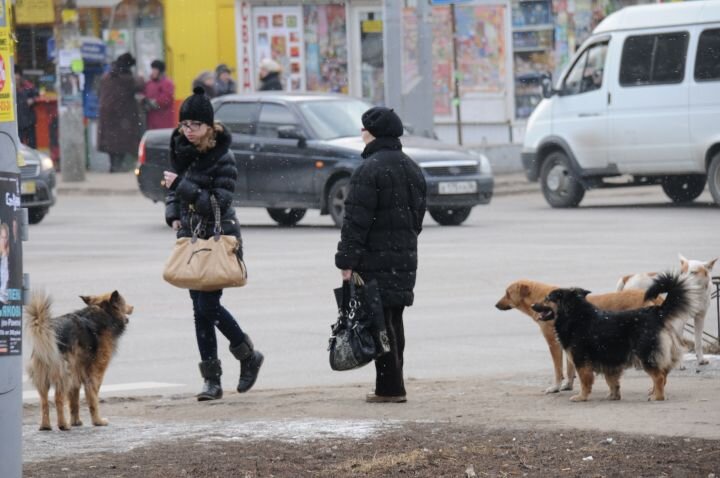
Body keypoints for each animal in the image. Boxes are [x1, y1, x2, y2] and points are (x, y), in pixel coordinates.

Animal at [26, 291, 133, 431]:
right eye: (124, 303)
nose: (132, 307)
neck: (104, 311)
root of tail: (49, 331)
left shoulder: (76, 375)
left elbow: (74, 401)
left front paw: (76, 421)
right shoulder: (95, 374)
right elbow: (93, 399)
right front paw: (98, 421)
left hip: (45, 378)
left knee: (44, 402)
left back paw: (45, 426)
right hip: (64, 376)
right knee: (58, 398)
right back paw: (63, 424)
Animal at [495, 280, 663, 394]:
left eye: (507, 293)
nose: (496, 305)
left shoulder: (554, 344)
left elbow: (558, 370)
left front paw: (555, 387)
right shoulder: (568, 344)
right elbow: (570, 369)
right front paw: (568, 385)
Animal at [531, 272, 705, 402]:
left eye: (547, 298)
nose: (533, 305)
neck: (574, 315)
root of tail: (656, 312)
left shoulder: (582, 360)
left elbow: (585, 381)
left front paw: (582, 397)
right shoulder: (609, 361)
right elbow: (612, 381)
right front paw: (613, 396)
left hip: (645, 354)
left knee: (659, 376)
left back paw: (658, 396)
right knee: (664, 373)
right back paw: (654, 392)